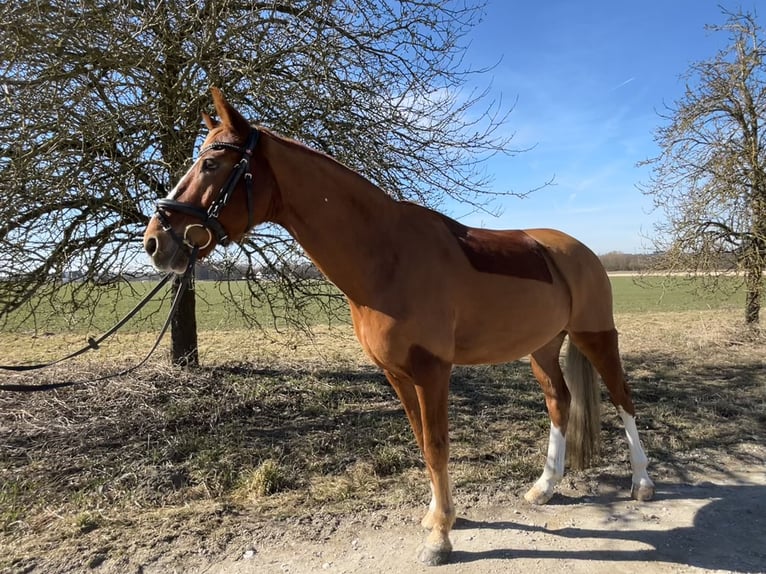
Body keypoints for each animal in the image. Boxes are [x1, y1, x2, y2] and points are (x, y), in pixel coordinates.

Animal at [144, 89, 656, 568]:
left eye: (211, 163)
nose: (155, 241)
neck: (386, 257)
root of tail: (579, 250)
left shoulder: (432, 372)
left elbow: (437, 446)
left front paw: (440, 539)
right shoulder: (396, 374)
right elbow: (421, 442)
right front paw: (436, 517)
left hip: (596, 336)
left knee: (623, 398)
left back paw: (642, 482)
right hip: (544, 347)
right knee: (559, 401)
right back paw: (545, 486)